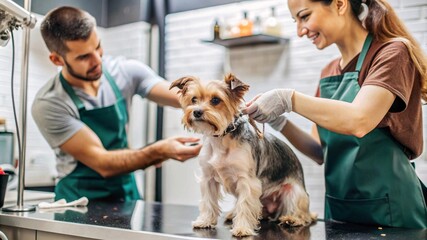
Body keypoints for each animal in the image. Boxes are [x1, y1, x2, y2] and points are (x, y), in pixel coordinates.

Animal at [171, 74, 318, 237]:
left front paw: (242, 228)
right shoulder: (208, 178)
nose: (196, 112)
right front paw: (205, 221)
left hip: (294, 193)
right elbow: (208, 201)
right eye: (194, 99)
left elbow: (245, 205)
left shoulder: (246, 181)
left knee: (303, 214)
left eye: (215, 100)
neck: (222, 138)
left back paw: (292, 219)